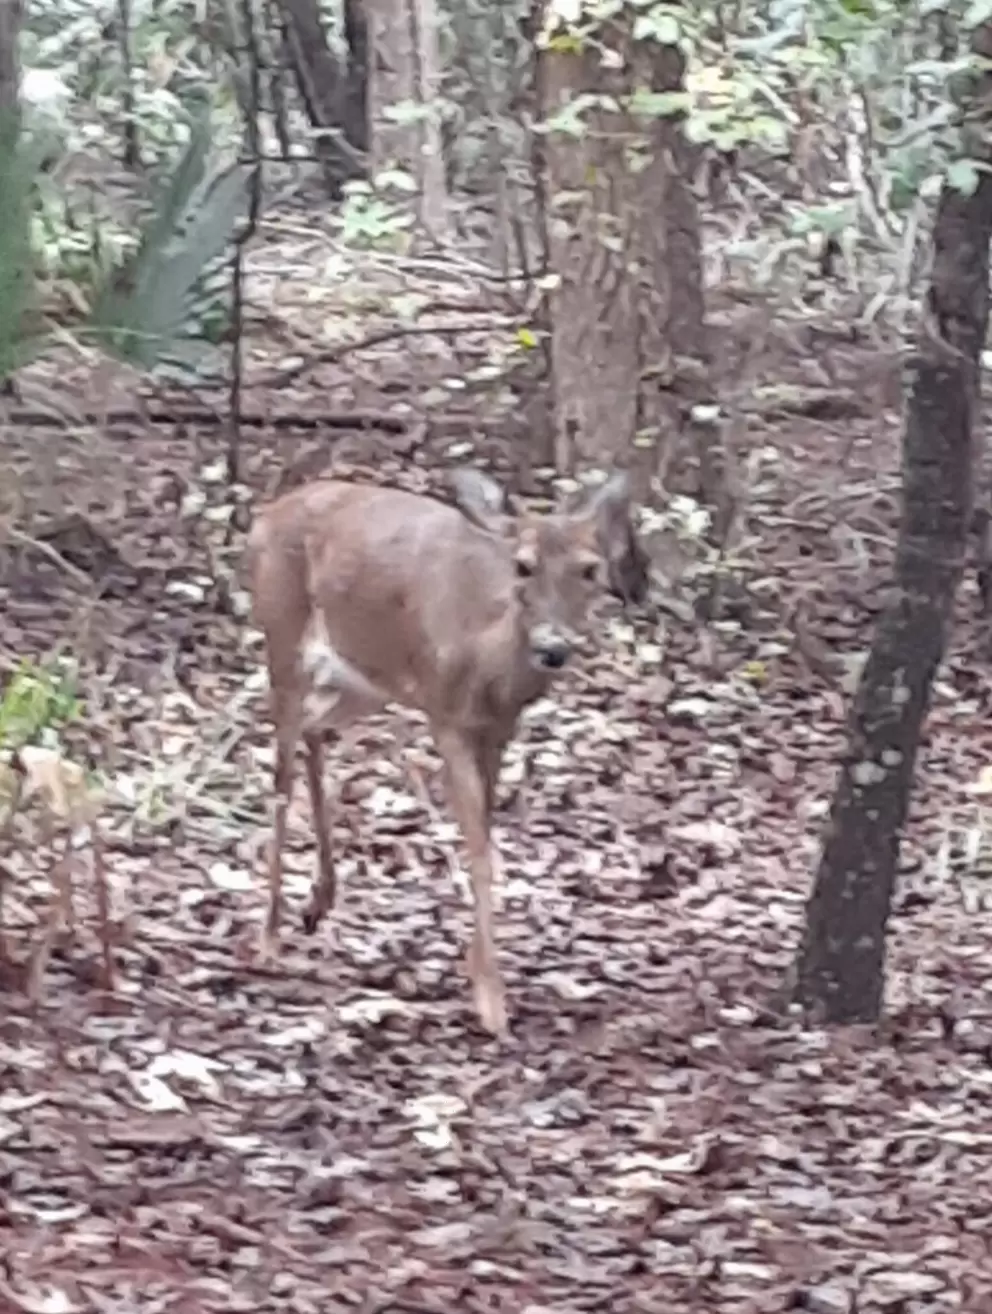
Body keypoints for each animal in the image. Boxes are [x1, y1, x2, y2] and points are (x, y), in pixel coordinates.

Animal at [246, 467, 649, 1037]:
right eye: (523, 565)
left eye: (590, 570)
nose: (552, 648)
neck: (488, 659)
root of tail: (267, 513)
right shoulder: (445, 716)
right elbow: (479, 850)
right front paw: (491, 999)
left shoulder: (498, 729)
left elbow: (487, 835)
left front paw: (476, 971)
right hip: (281, 635)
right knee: (280, 771)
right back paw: (269, 936)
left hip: (362, 678)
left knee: (314, 730)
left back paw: (319, 901)